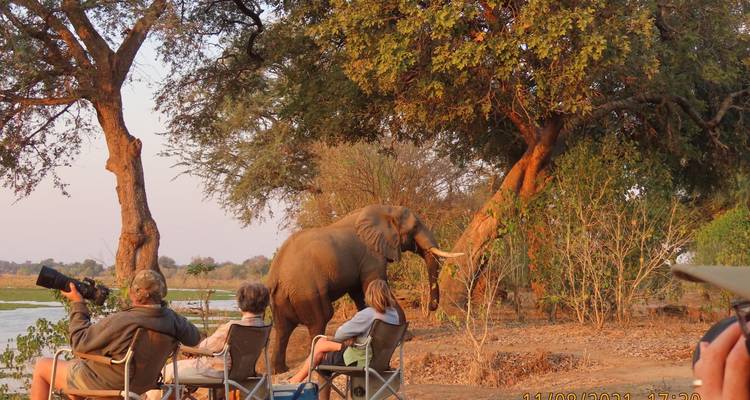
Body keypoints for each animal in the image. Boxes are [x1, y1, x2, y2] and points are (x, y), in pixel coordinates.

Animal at [267, 204, 462, 372]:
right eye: (415, 227)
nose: (431, 308)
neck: (385, 209)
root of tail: (275, 273)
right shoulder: (371, 255)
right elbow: (374, 283)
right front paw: (406, 336)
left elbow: (361, 294)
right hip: (307, 287)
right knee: (320, 318)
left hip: (281, 296)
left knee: (283, 328)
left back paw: (280, 369)